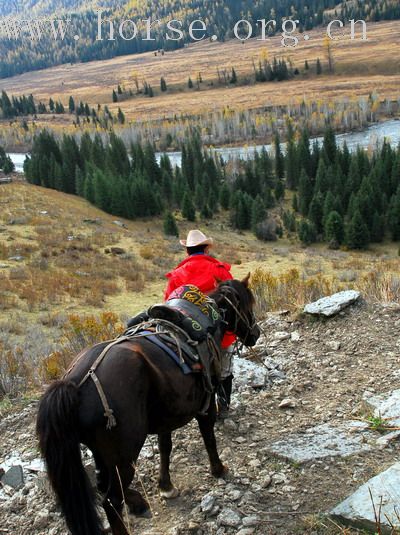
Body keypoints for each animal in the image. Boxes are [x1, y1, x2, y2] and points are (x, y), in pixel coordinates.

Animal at [36, 276, 260, 535]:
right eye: (248, 303)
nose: (255, 333)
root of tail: (75, 382)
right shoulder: (205, 405)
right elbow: (209, 437)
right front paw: (219, 469)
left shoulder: (166, 416)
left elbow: (165, 447)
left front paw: (166, 486)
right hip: (124, 453)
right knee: (111, 499)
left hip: (103, 453)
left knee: (104, 486)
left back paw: (137, 502)